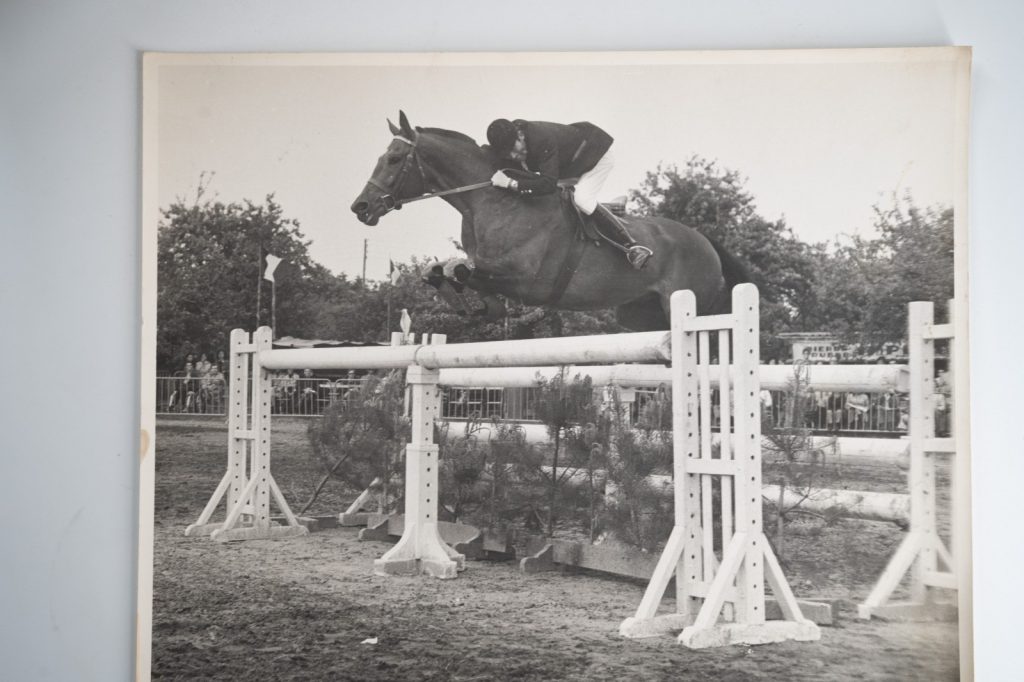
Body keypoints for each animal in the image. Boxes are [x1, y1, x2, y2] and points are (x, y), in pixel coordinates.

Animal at [350, 112, 748, 331]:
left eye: (394, 159)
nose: (360, 207)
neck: (489, 202)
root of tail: (706, 242)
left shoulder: (523, 279)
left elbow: (457, 269)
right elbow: (443, 271)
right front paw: (465, 302)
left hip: (690, 304)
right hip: (640, 315)